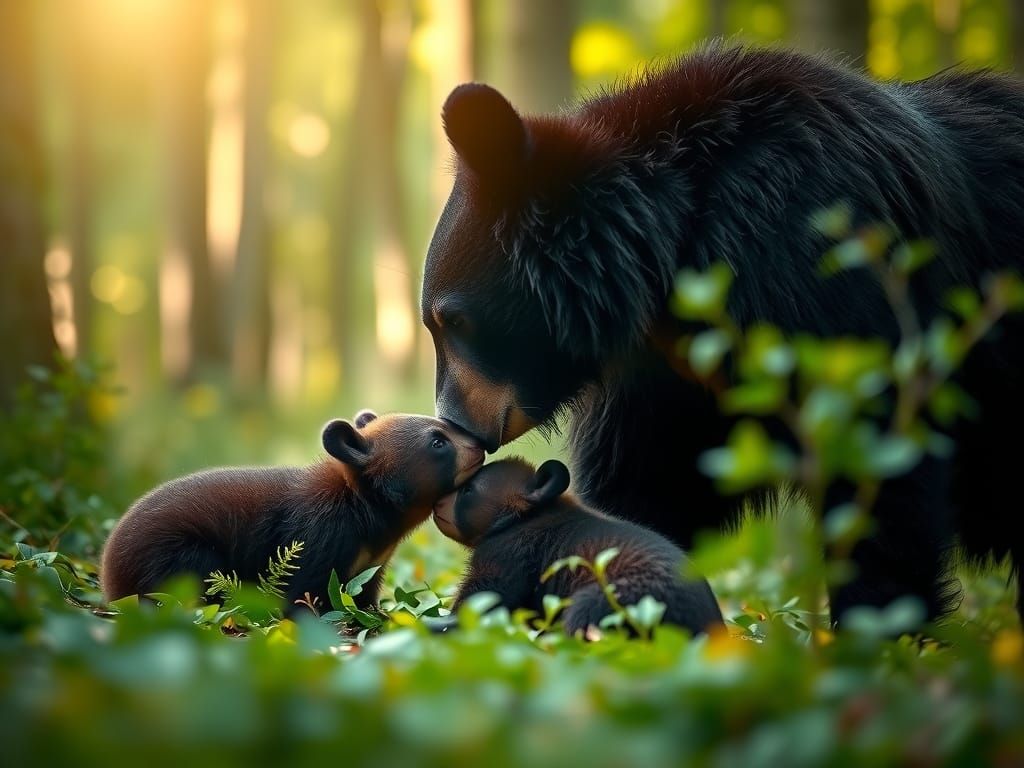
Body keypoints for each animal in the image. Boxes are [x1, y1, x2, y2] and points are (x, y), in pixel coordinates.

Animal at [101, 411, 484, 612]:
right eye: (438, 441)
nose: (479, 444)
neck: (364, 510)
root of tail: (109, 575)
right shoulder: (318, 535)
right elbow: (302, 592)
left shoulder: (372, 564)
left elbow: (364, 596)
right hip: (177, 557)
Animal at [432, 457, 724, 637]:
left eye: (468, 490)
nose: (436, 503)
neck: (522, 518)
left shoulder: (506, 553)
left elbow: (486, 597)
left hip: (612, 600)